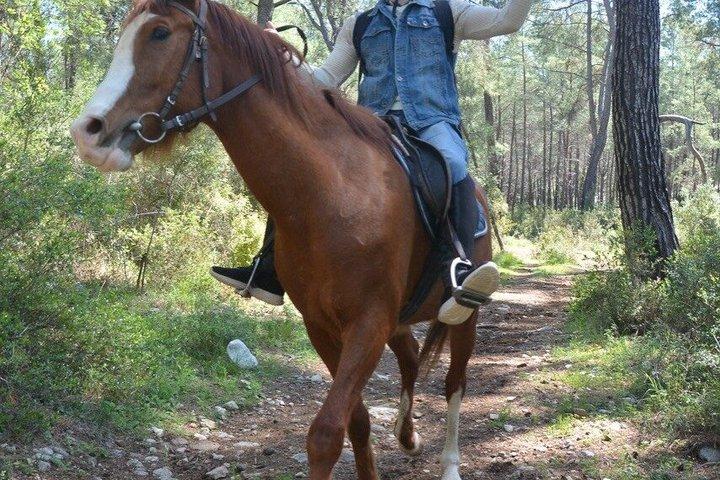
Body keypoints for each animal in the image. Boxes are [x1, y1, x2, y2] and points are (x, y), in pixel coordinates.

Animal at [70, 1, 492, 478]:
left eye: (159, 33)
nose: (87, 131)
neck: (334, 192)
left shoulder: (369, 322)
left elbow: (326, 433)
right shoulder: (322, 324)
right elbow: (357, 422)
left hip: (464, 316)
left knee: (454, 383)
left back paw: (450, 463)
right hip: (400, 318)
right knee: (411, 352)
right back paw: (407, 434)